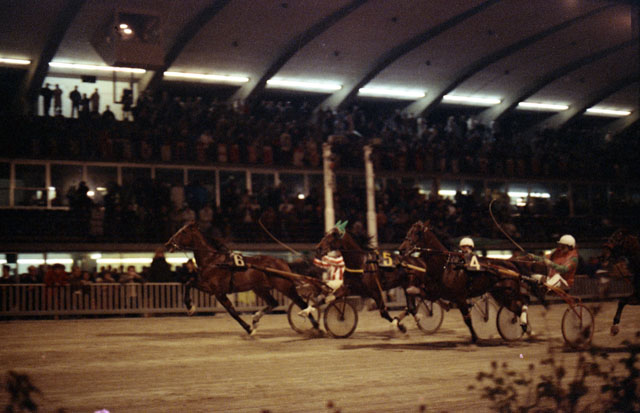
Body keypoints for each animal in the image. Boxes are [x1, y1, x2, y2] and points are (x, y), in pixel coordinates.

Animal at [165, 222, 320, 335]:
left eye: (183, 232)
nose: (167, 244)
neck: (213, 260)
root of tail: (282, 262)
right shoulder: (209, 287)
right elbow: (188, 282)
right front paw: (190, 307)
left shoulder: (218, 292)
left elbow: (232, 312)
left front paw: (249, 329)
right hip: (260, 288)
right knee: (274, 303)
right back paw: (256, 318)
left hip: (284, 286)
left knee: (301, 303)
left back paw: (316, 326)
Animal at [398, 220, 531, 343]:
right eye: (408, 231)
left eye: (417, 232)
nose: (401, 249)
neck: (445, 266)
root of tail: (511, 265)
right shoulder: (433, 293)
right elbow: (411, 291)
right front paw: (406, 320)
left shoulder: (460, 297)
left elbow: (467, 319)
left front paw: (474, 338)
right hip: (501, 295)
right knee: (517, 308)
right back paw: (525, 328)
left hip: (509, 292)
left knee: (522, 301)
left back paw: (525, 325)